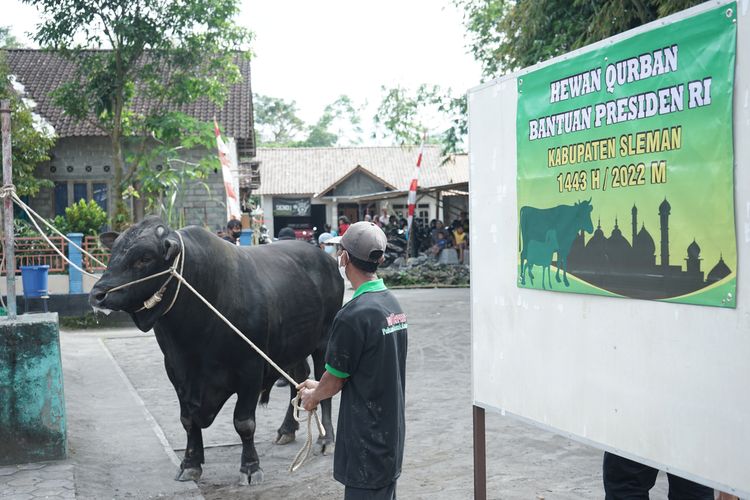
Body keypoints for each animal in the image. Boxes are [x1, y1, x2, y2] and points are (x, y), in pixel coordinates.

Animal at [89, 219, 346, 484]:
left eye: (145, 258)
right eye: (113, 252)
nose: (98, 294)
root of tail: (326, 260)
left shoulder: (250, 369)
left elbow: (244, 422)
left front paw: (250, 467)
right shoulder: (176, 371)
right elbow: (188, 421)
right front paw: (190, 464)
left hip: (325, 342)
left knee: (321, 385)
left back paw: (326, 438)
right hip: (291, 347)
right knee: (299, 379)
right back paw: (287, 429)